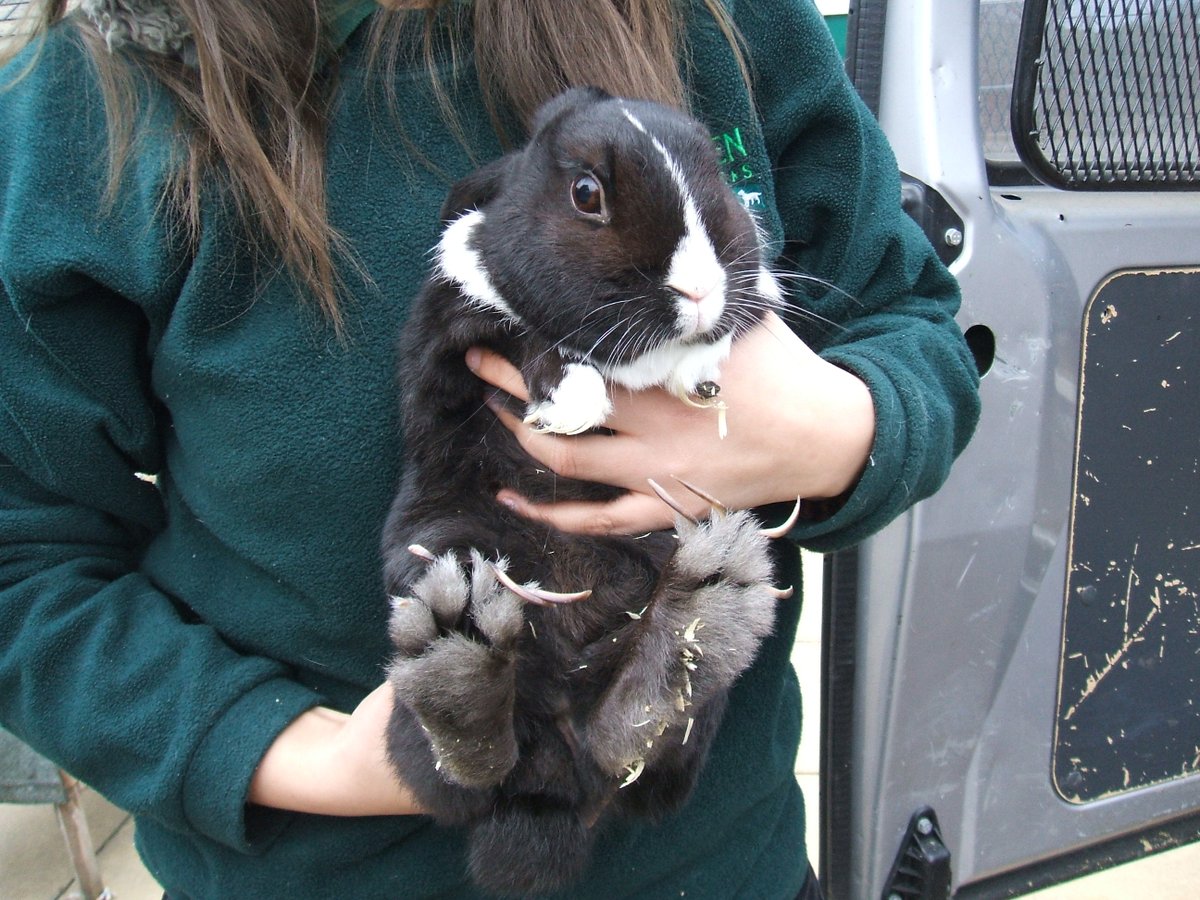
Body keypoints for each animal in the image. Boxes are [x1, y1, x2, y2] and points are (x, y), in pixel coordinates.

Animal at [381, 88, 796, 897]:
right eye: (585, 194)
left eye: (714, 172)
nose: (699, 290)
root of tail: (554, 795)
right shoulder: (450, 325)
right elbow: (518, 337)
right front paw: (572, 401)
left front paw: (698, 379)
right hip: (436, 550)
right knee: (468, 771)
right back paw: (464, 657)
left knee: (627, 744)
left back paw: (683, 640)